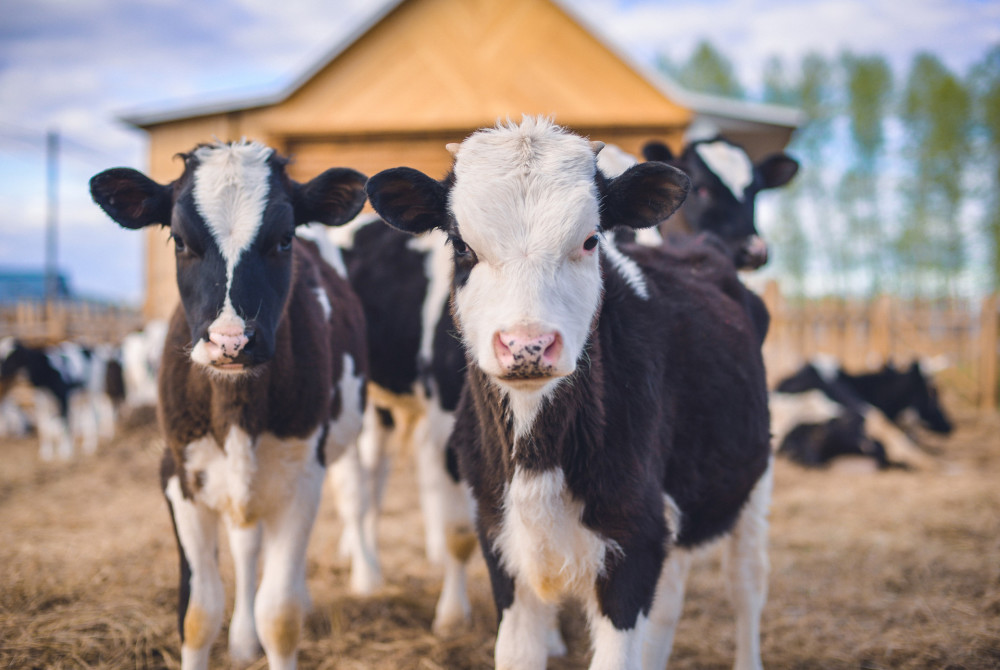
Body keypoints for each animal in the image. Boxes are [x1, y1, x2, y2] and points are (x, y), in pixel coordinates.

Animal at [89, 139, 372, 668]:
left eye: (284, 240)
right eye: (180, 240)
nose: (231, 342)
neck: (235, 407)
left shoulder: (304, 475)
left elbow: (279, 615)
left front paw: (277, 621)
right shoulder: (177, 473)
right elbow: (198, 613)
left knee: (349, 502)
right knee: (245, 546)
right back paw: (242, 640)